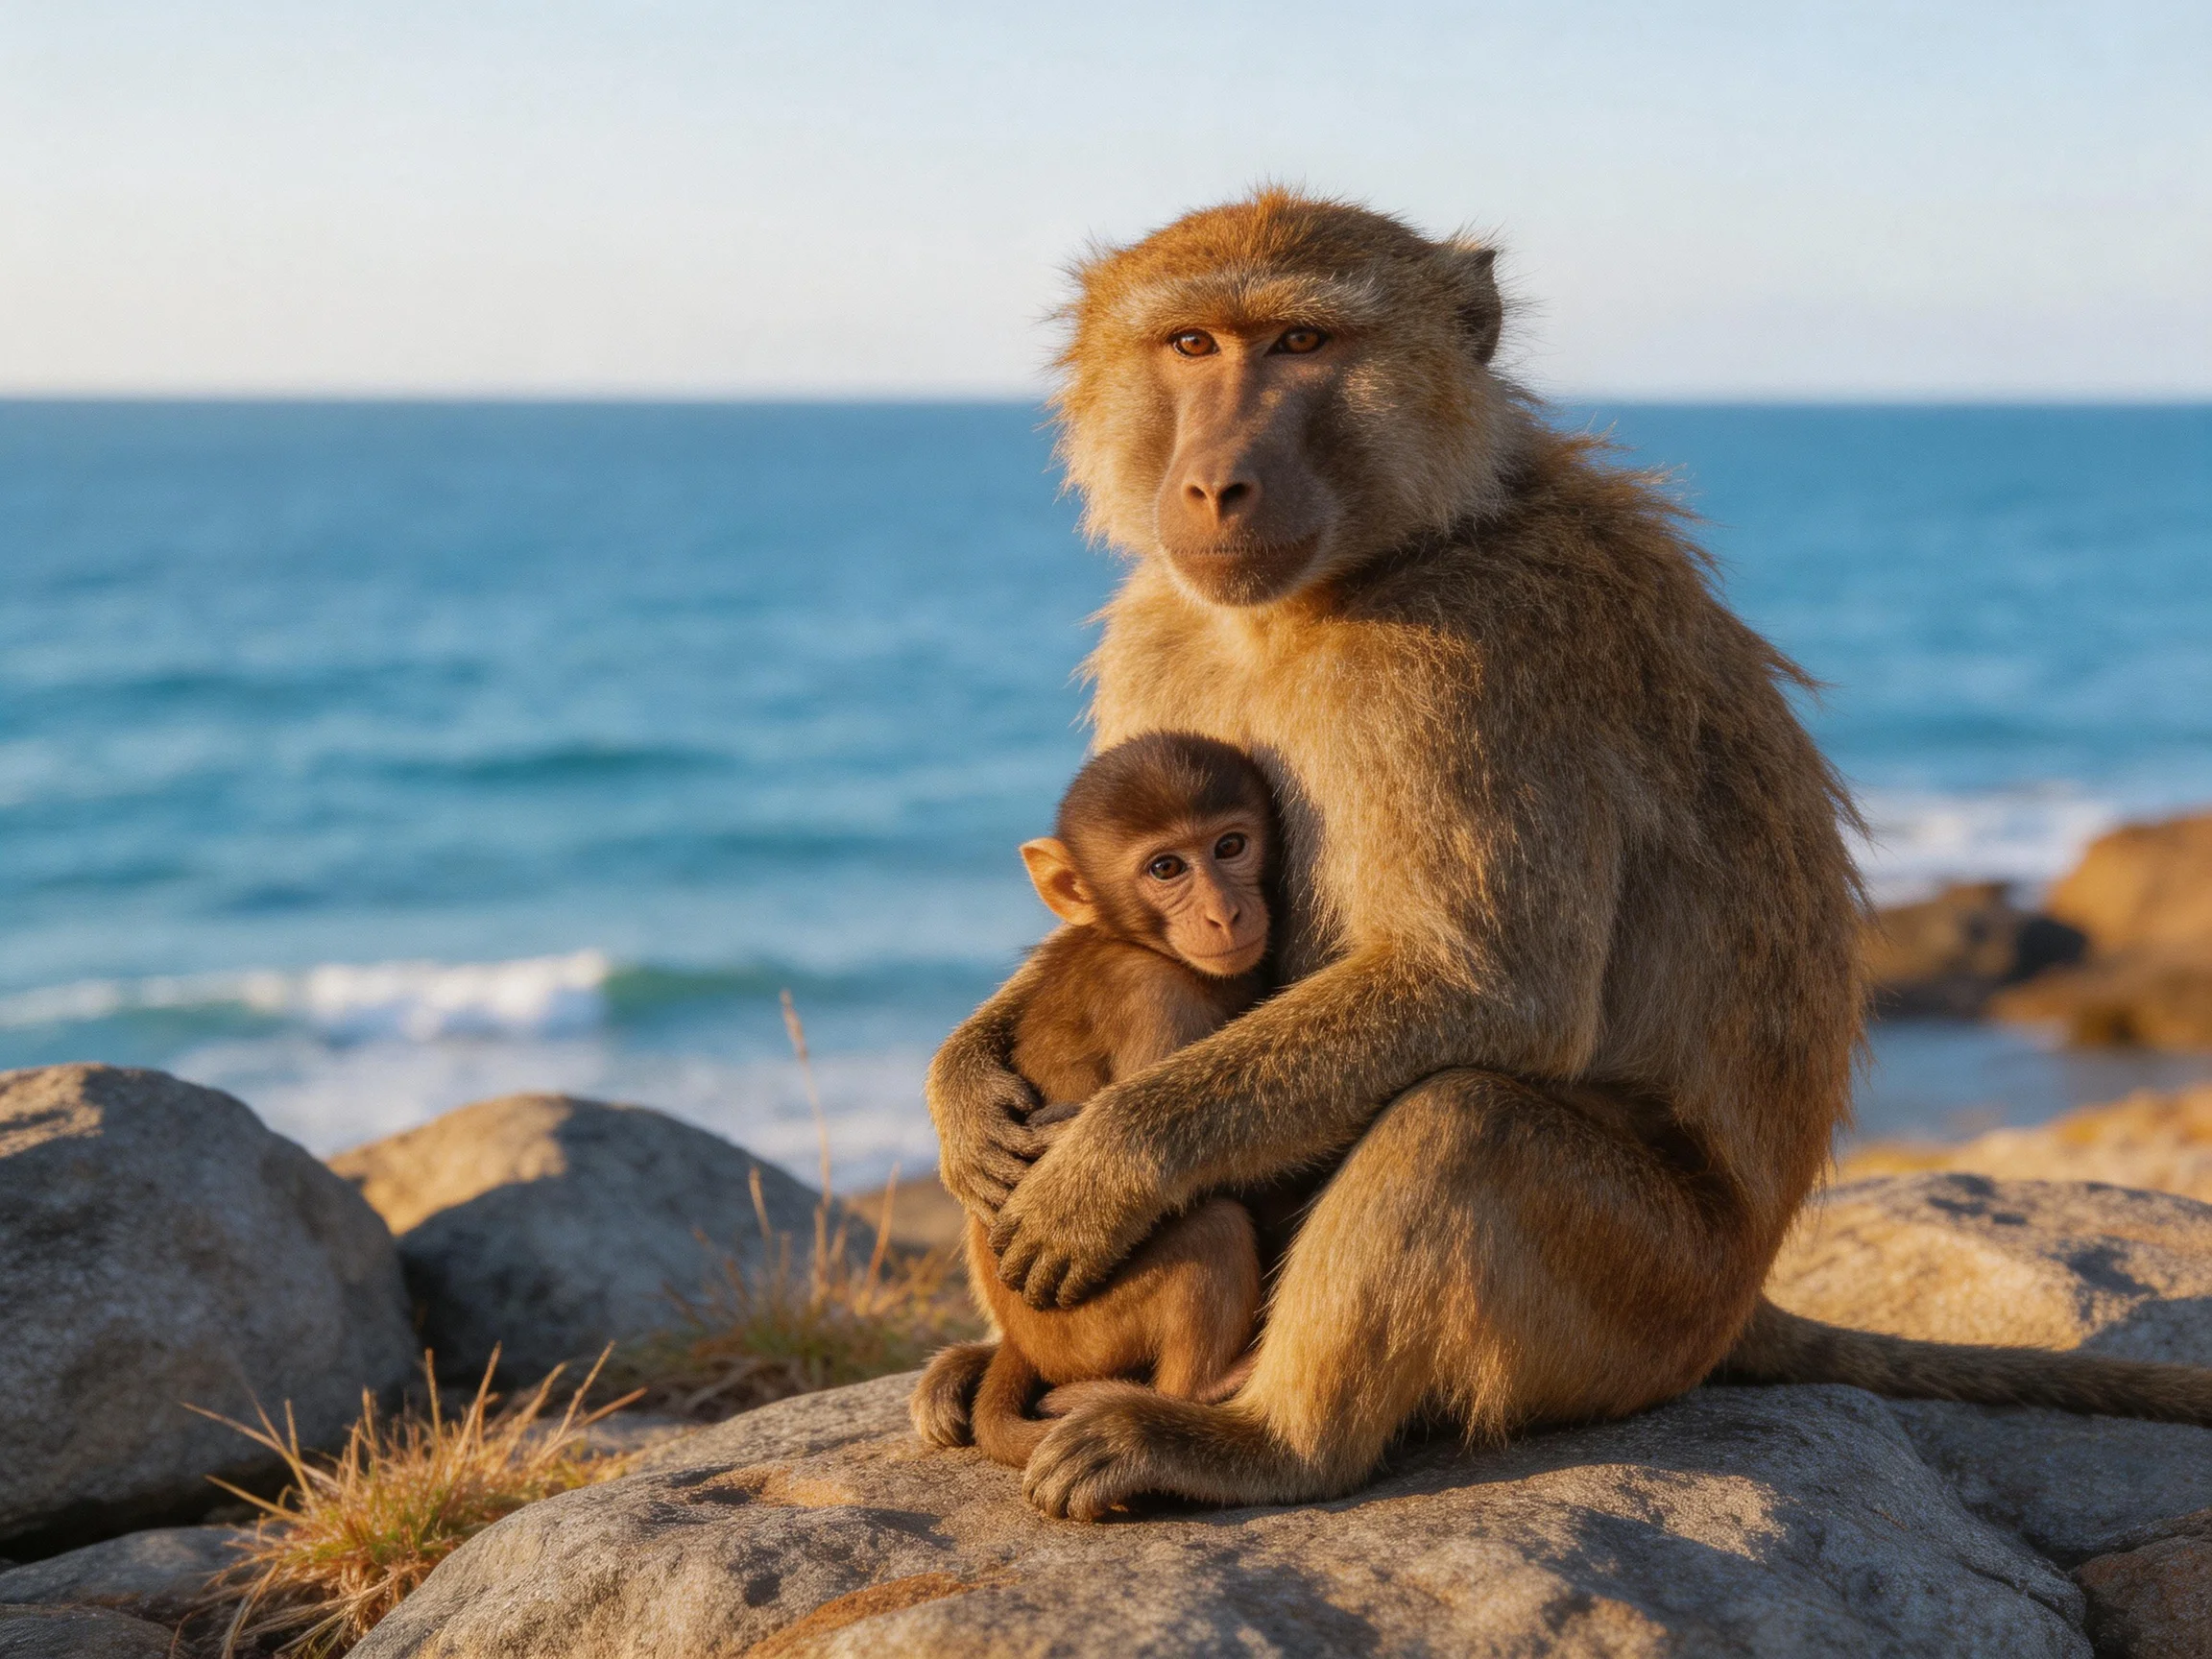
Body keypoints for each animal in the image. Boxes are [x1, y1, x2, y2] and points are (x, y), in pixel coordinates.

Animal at [912, 732, 1276, 1468]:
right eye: (1166, 868)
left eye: (1231, 846)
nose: (1225, 912)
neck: (1126, 937)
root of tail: (1027, 1347)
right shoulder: (1156, 995)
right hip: (1091, 1329)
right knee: (1217, 1223)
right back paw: (1205, 1385)